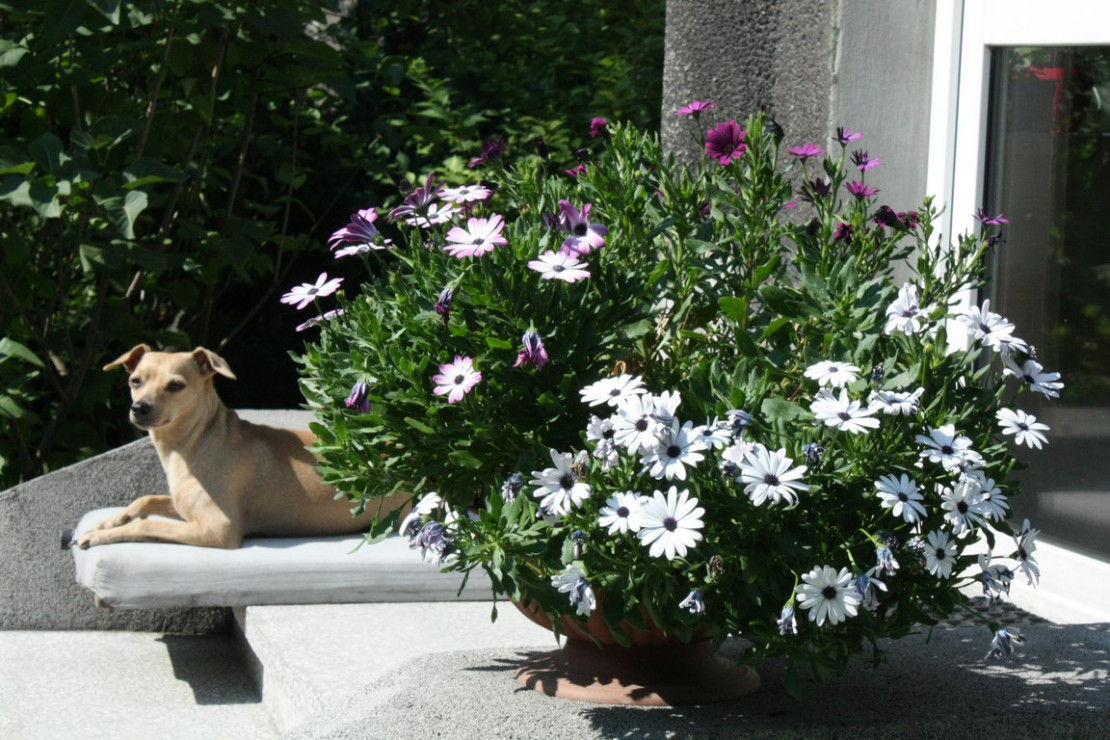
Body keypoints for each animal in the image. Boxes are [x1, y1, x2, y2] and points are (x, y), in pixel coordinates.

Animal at [76, 348, 395, 550]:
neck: (197, 443)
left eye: (176, 385)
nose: (139, 408)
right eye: (135, 381)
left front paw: (97, 535)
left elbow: (148, 526)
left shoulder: (217, 528)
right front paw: (109, 522)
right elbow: (145, 500)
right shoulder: (184, 509)